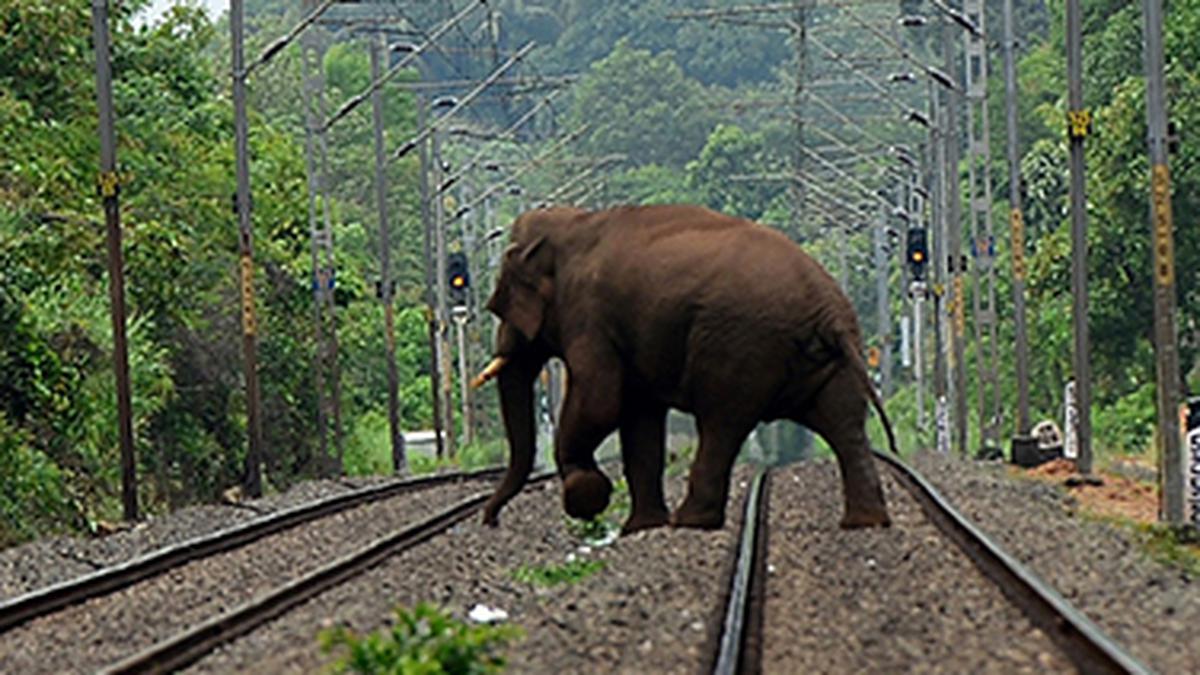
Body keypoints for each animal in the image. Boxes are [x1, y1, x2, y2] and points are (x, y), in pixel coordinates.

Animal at [472, 204, 897, 530]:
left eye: (499, 306)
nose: (490, 520)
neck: (572, 221)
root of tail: (828, 307)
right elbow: (639, 417)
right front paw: (640, 528)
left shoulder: (589, 316)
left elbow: (600, 399)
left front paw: (586, 494)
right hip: (828, 356)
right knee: (844, 423)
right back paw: (865, 522)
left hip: (739, 345)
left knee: (722, 423)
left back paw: (690, 521)